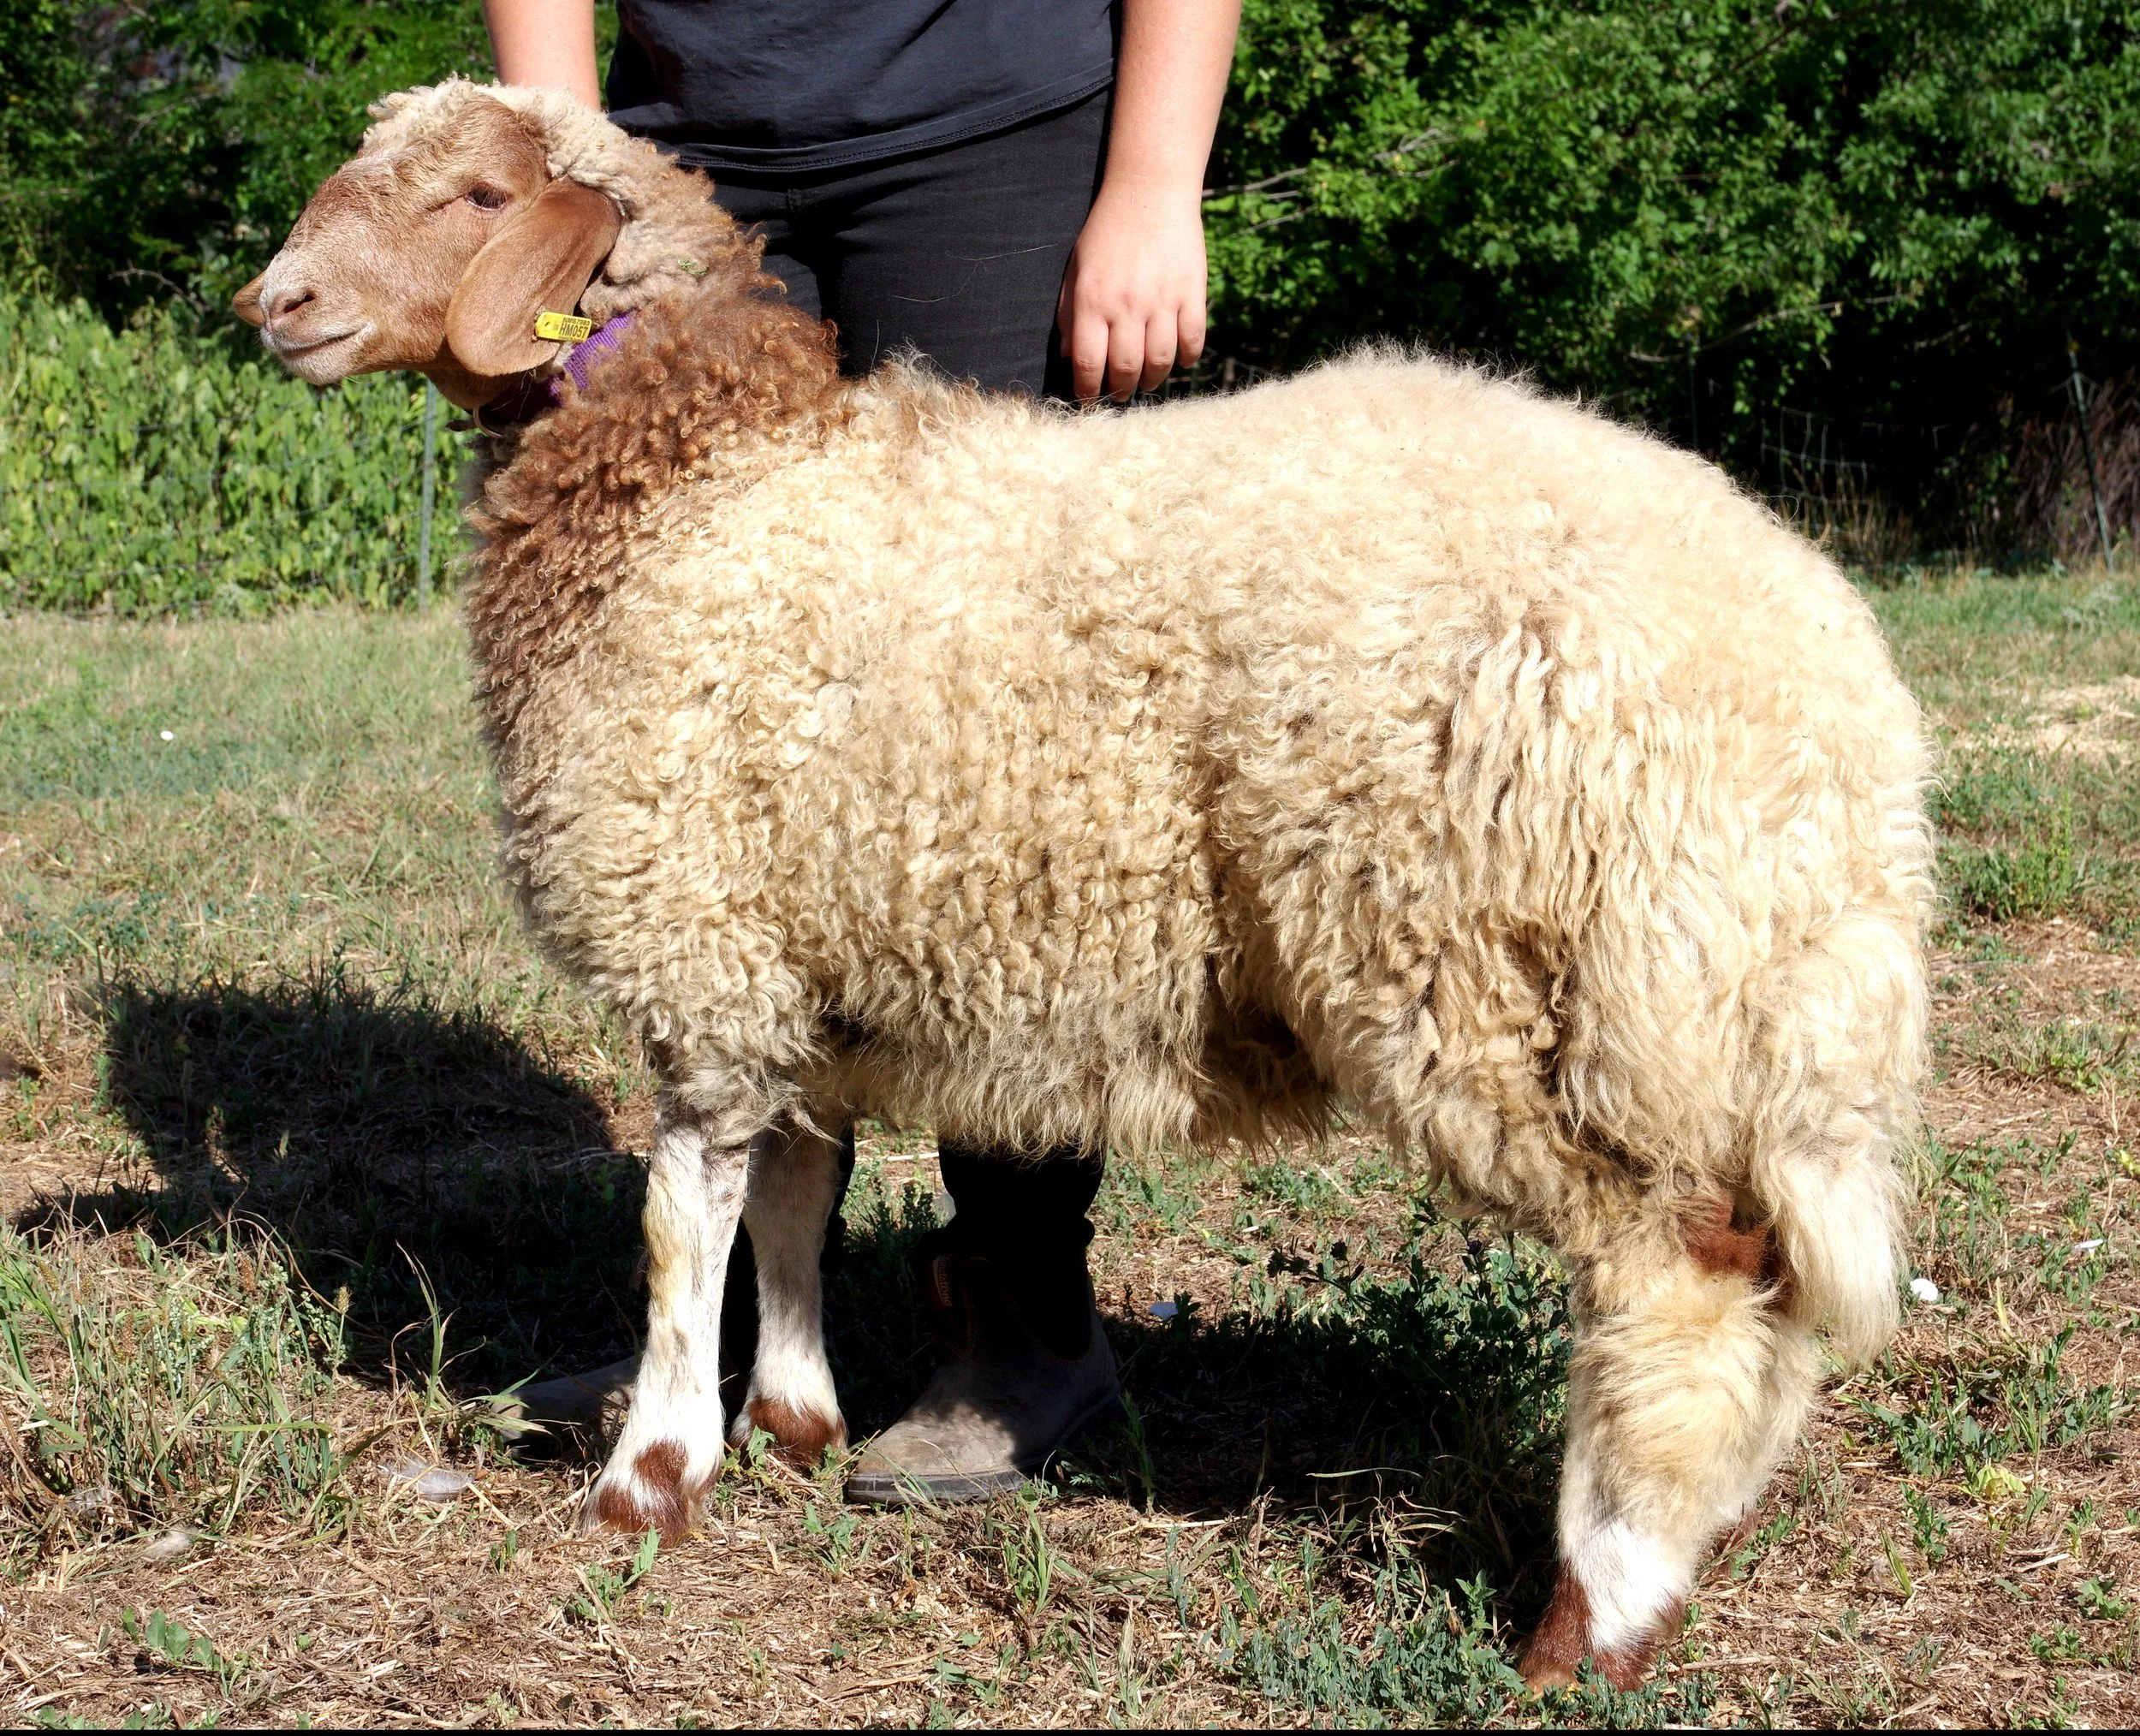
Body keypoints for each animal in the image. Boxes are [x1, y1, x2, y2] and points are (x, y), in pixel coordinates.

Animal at [235, 78, 1932, 1690]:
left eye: (477, 196)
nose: (275, 303)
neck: (709, 491)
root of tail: (1827, 705)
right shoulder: (805, 940)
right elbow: (791, 1196)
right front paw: (795, 1423)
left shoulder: (704, 940)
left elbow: (682, 1228)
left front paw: (649, 1481)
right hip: (1684, 1006)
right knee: (1766, 1299)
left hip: (1517, 975)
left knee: (1680, 1279)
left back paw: (1595, 1614)